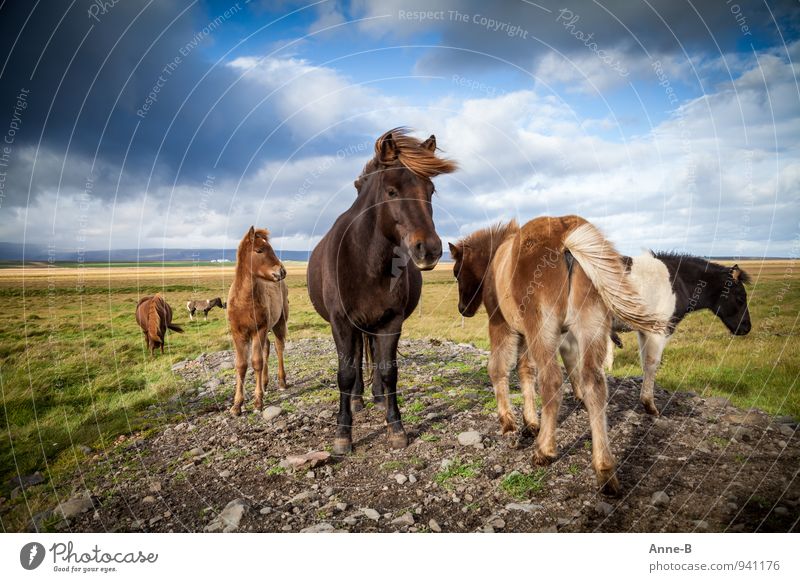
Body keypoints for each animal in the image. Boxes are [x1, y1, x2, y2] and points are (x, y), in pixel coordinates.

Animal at [227, 226, 290, 418]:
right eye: (260, 250)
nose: (282, 272)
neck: (244, 301)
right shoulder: (238, 334)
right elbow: (241, 365)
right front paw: (237, 405)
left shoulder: (259, 330)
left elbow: (256, 362)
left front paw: (258, 402)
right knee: (267, 348)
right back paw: (265, 383)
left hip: (279, 323)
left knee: (278, 347)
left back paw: (281, 382)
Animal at [306, 130, 456, 458]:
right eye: (391, 191)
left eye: (431, 189)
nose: (430, 249)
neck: (367, 261)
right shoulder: (341, 323)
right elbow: (346, 373)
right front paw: (343, 435)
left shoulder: (391, 322)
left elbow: (389, 371)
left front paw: (395, 428)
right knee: (357, 358)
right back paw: (357, 400)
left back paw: (375, 396)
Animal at [450, 217, 668, 496]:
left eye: (457, 271)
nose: (463, 309)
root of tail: (566, 238)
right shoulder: (525, 335)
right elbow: (525, 371)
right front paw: (531, 422)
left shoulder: (502, 326)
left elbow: (498, 369)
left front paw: (510, 426)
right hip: (589, 327)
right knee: (594, 385)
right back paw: (605, 470)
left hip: (543, 329)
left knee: (552, 381)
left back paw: (544, 451)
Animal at [608, 253, 752, 418]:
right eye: (740, 298)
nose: (746, 327)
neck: (677, 283)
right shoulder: (659, 330)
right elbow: (652, 363)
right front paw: (649, 405)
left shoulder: (644, 331)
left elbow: (645, 362)